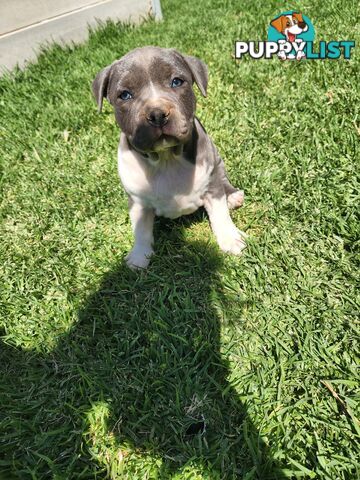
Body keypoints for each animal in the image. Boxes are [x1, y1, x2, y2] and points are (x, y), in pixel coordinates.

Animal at [91, 46, 246, 270]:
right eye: (125, 95)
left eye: (176, 82)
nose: (157, 114)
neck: (166, 158)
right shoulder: (137, 201)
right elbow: (140, 230)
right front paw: (139, 256)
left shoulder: (212, 185)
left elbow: (220, 214)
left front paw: (230, 239)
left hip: (218, 162)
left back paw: (232, 196)